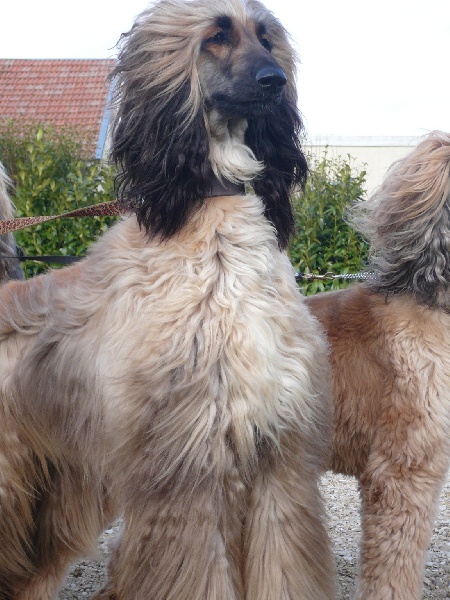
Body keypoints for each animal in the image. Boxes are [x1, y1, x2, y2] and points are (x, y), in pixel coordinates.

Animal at [0, 1, 334, 598]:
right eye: (216, 36)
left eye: (266, 37)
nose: (274, 83)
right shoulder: (186, 465)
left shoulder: (279, 456)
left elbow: (285, 563)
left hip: (55, 481)